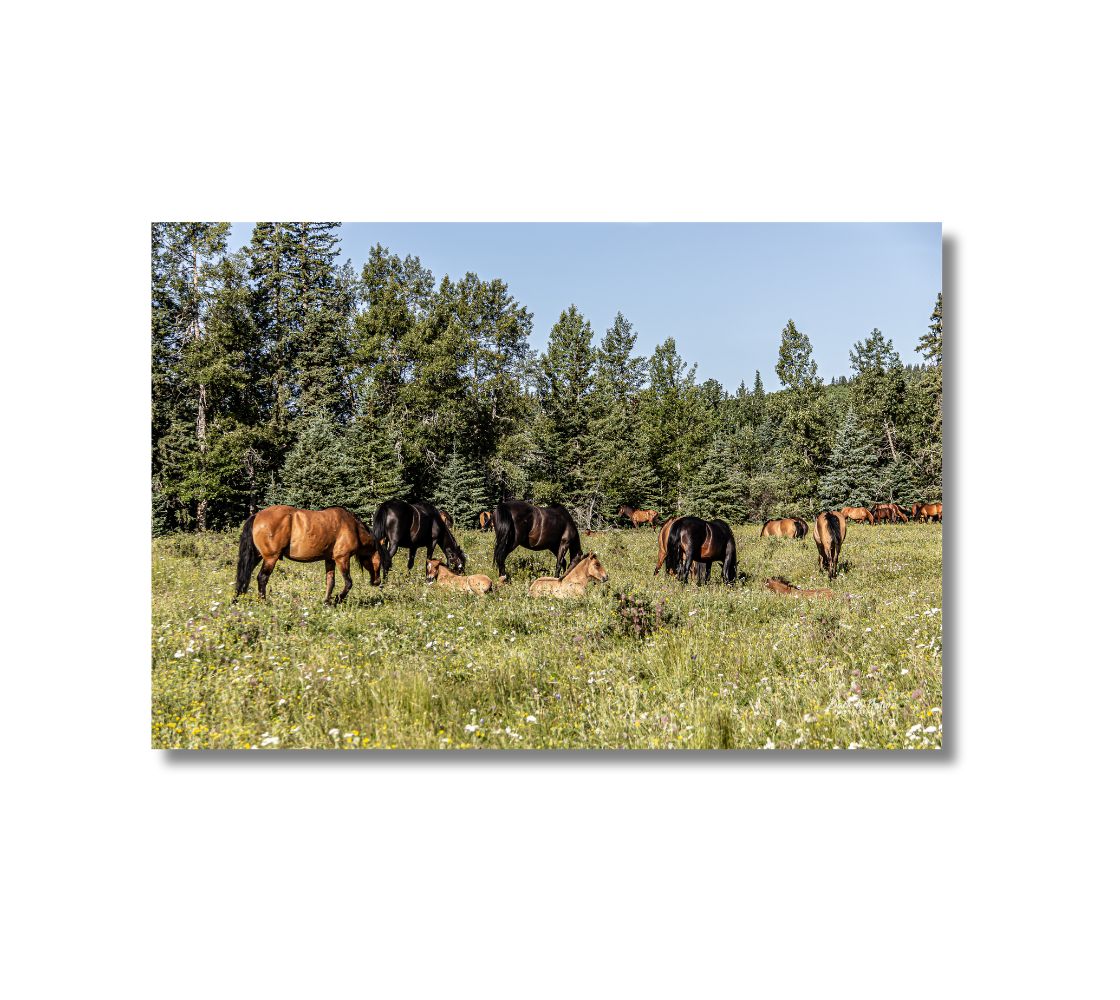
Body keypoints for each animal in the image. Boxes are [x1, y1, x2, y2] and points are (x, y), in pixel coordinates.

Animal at [235, 505, 386, 604]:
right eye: (379, 559)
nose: (377, 581)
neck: (352, 527)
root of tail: (256, 515)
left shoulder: (330, 560)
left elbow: (330, 582)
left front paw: (326, 602)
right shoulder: (342, 558)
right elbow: (348, 583)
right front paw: (337, 599)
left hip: (257, 556)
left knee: (244, 576)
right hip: (270, 558)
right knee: (262, 578)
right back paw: (263, 602)